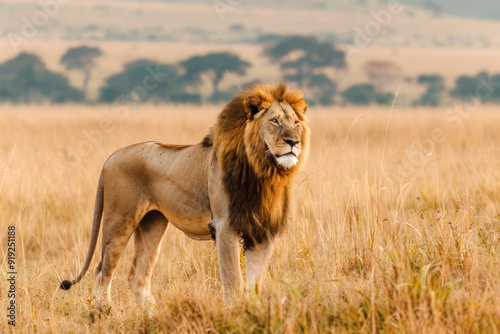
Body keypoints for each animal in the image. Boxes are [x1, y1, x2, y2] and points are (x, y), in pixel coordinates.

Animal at [60, 82, 310, 306]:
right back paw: (102, 312)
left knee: (138, 277)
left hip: (152, 223)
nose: (293, 142)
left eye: (296, 123)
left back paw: (155, 315)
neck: (264, 171)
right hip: (119, 220)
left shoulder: (263, 231)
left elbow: (254, 284)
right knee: (103, 270)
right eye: (274, 121)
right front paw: (236, 312)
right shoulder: (224, 225)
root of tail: (110, 157)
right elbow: (233, 281)